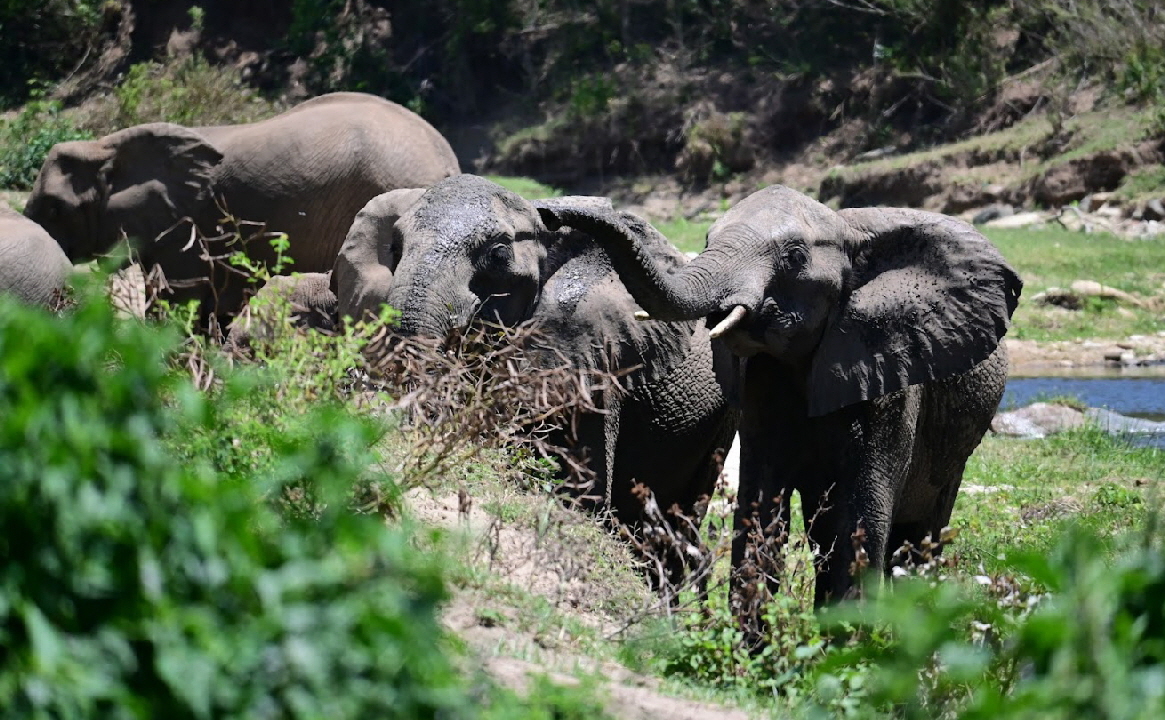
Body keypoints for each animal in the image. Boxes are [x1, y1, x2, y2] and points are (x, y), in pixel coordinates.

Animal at [540, 184, 1025, 605]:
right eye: (707, 239)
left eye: (794, 257)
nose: (550, 212)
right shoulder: (762, 384)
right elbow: (760, 509)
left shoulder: (889, 376)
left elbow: (860, 524)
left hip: (956, 447)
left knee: (917, 540)